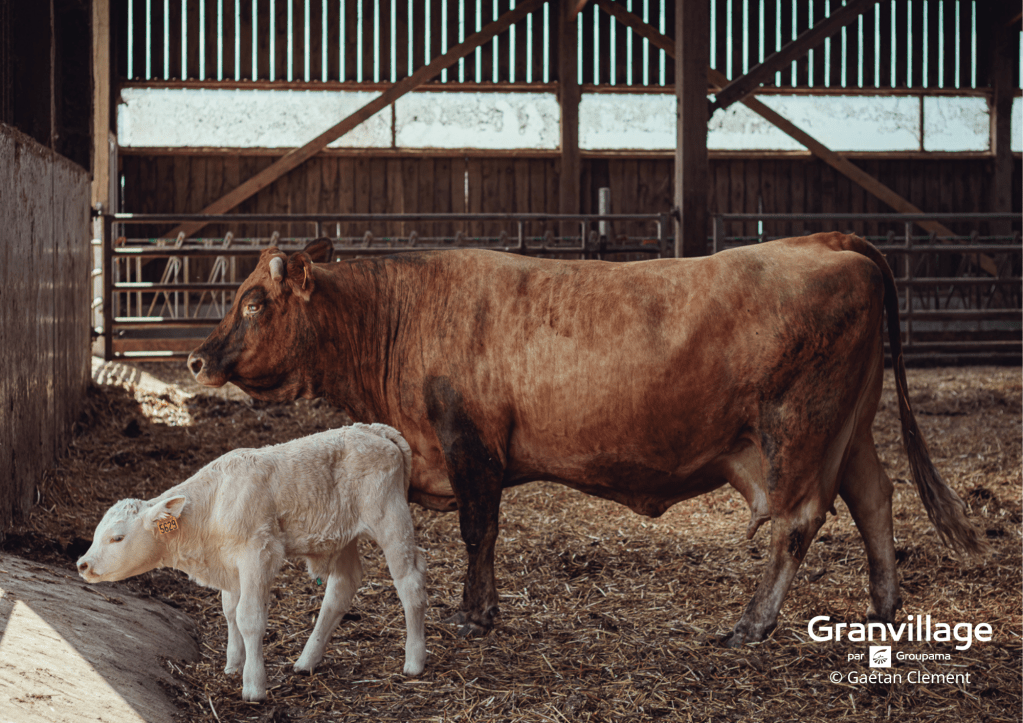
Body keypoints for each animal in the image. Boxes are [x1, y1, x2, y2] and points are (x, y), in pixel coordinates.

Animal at [76, 423, 428, 702]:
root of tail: (373, 429)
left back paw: (414, 661)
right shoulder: (229, 564)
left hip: (390, 519)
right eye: (96, 533)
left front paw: (253, 685)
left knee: (410, 581)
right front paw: (233, 665)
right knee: (342, 587)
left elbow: (249, 617)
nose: (82, 564)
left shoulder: (257, 554)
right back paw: (307, 661)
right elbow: (231, 612)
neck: (213, 505)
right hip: (343, 536)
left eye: (117, 538)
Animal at [186, 232, 982, 647]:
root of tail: (821, 241)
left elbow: (479, 531)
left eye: (252, 302)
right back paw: (883, 608)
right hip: (850, 428)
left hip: (799, 427)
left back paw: (752, 623)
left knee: (798, 519)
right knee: (874, 497)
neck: (400, 314)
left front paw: (474, 613)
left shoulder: (470, 444)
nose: (196, 359)